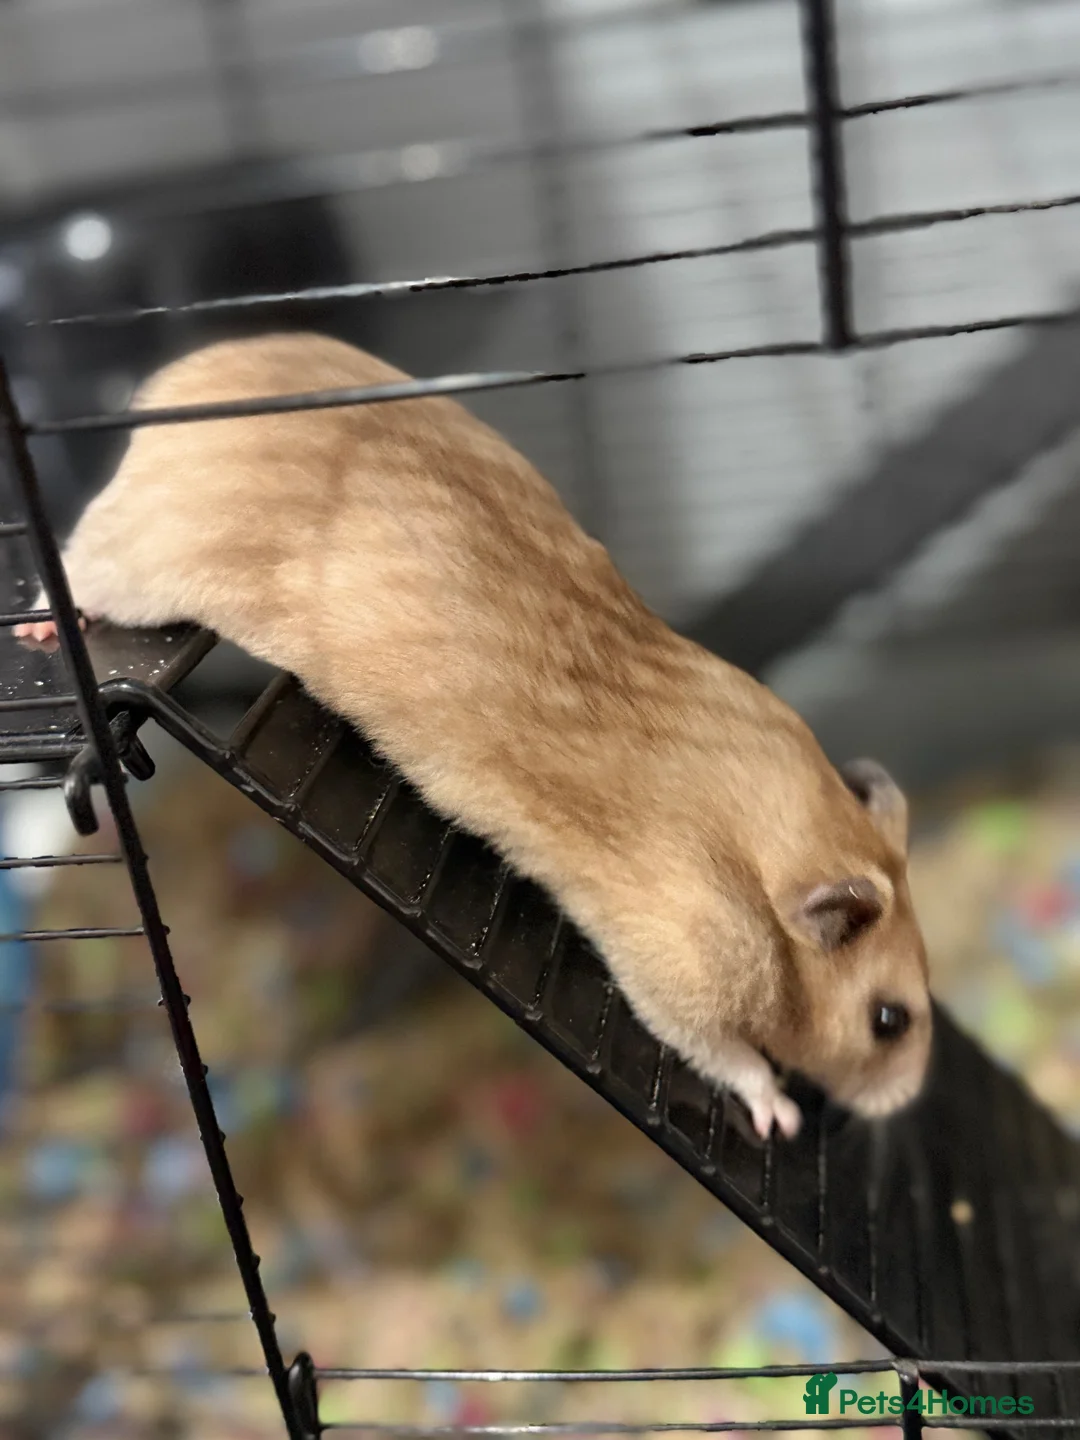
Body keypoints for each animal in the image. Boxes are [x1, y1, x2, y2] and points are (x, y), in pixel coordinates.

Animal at [16, 332, 932, 1138]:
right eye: (890, 1020)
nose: (903, 1105)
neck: (782, 861)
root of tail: (170, 387)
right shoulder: (676, 966)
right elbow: (726, 1053)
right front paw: (780, 1115)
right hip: (141, 563)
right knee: (74, 561)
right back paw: (41, 625)